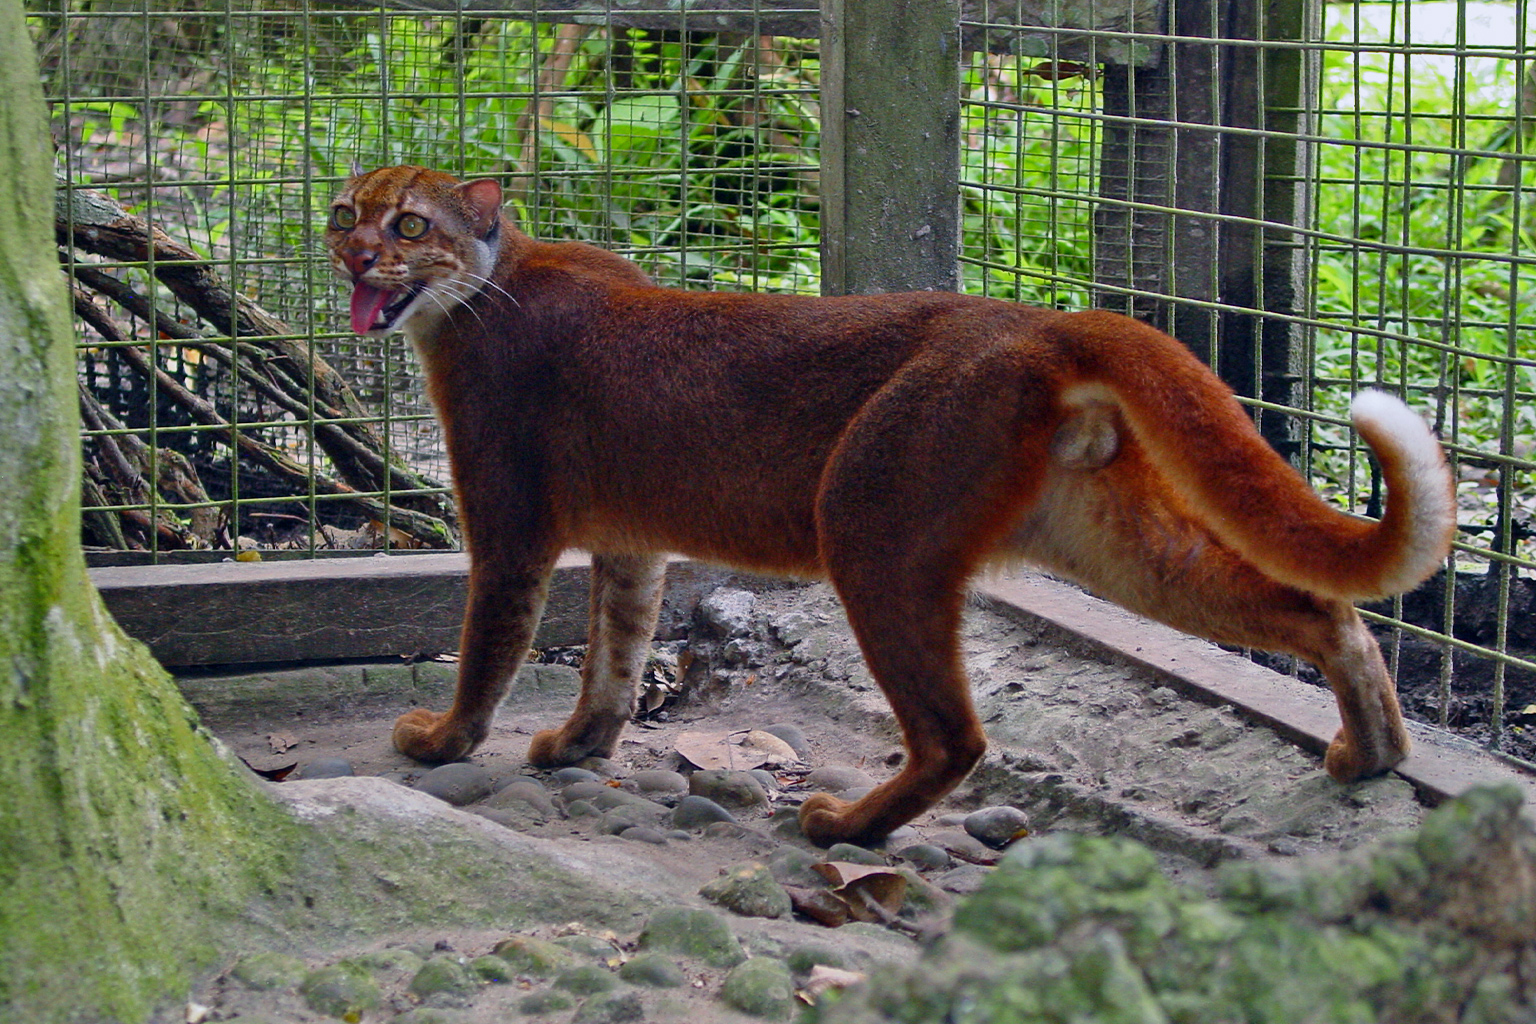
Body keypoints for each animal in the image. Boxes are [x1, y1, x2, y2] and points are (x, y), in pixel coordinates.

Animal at [324, 164, 1449, 847]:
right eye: (346, 211)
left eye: (410, 223)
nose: (354, 254)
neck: (486, 285)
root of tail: (1039, 322)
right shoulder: (632, 547)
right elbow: (616, 651)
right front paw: (578, 746)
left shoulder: (509, 522)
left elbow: (490, 642)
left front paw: (443, 741)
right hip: (1104, 536)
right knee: (1320, 608)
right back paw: (1374, 753)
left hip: (867, 524)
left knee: (956, 735)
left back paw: (844, 824)